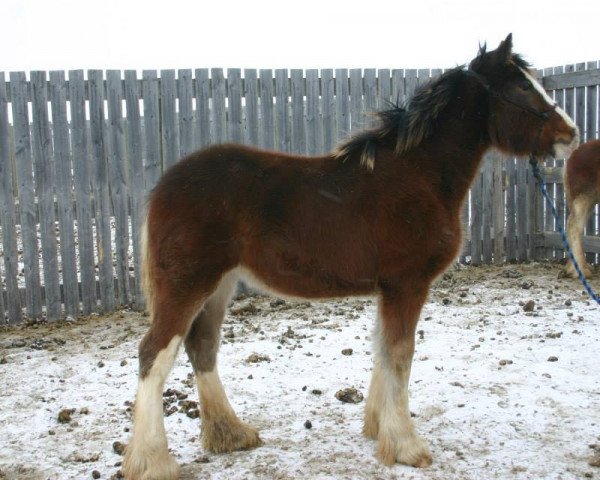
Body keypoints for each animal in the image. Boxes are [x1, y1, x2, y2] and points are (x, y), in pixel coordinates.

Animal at [122, 34, 576, 480]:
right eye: (521, 87)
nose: (570, 133)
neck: (419, 176)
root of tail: (163, 185)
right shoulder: (407, 284)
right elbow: (400, 354)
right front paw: (406, 446)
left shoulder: (389, 289)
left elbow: (382, 349)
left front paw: (377, 428)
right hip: (187, 283)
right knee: (154, 354)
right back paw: (153, 462)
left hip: (221, 283)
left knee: (201, 345)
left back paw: (229, 434)